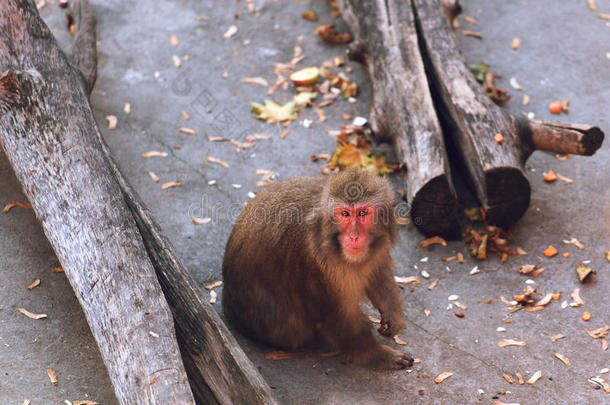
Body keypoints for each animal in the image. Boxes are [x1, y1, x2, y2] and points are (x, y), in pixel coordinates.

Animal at [221, 168, 410, 370]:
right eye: (344, 214)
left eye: (362, 213)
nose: (354, 236)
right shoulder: (314, 262)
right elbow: (336, 315)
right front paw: (378, 355)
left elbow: (377, 271)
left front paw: (393, 315)